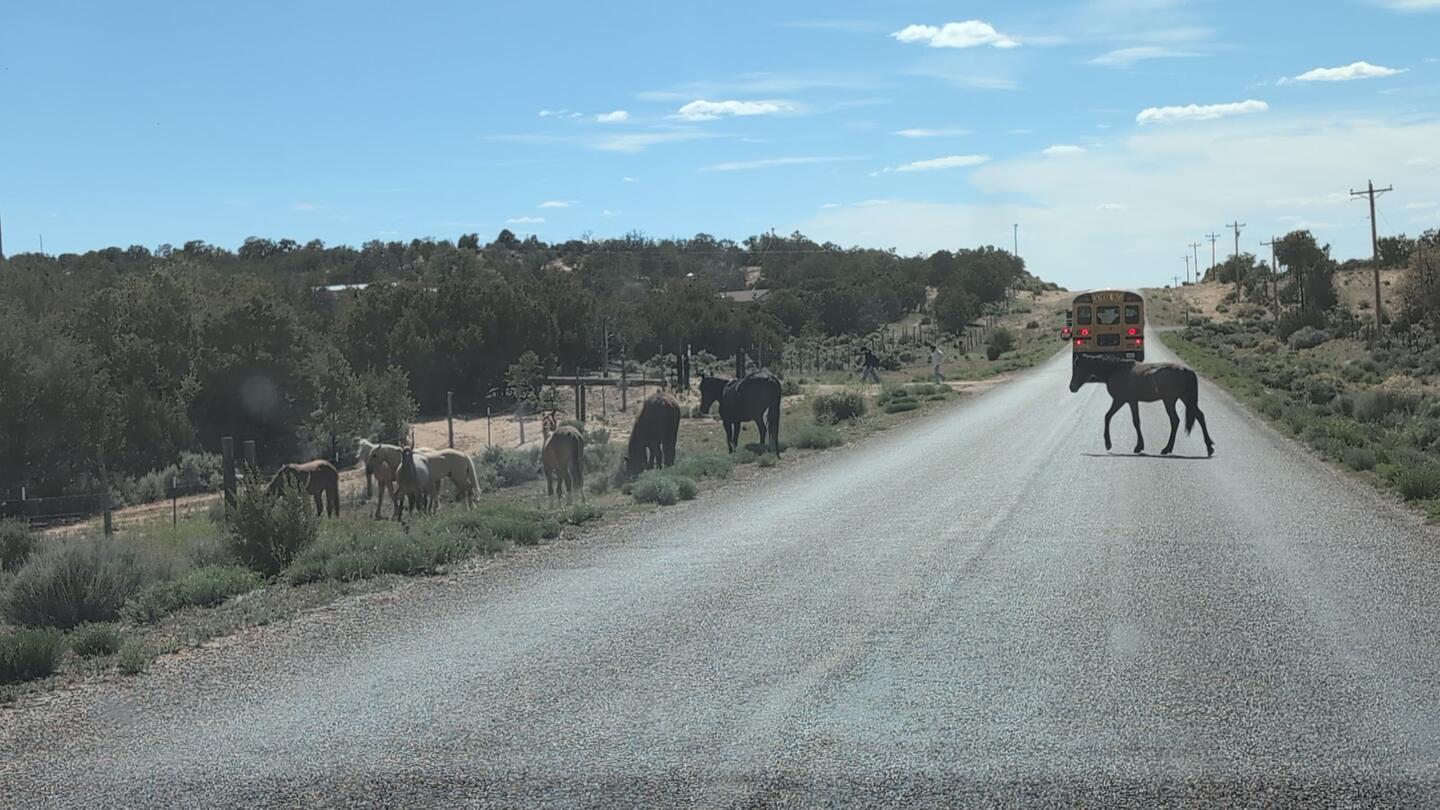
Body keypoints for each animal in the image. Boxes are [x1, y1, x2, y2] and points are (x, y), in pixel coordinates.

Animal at [1069, 354, 1215, 457]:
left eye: (1077, 368)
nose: (1072, 387)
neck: (1115, 370)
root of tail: (1186, 370)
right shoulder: (1131, 402)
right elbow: (1135, 421)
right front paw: (1139, 445)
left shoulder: (1120, 400)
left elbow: (1109, 417)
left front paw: (1109, 443)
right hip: (1184, 398)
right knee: (1199, 416)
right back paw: (1209, 447)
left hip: (1169, 400)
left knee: (1175, 421)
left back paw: (1167, 448)